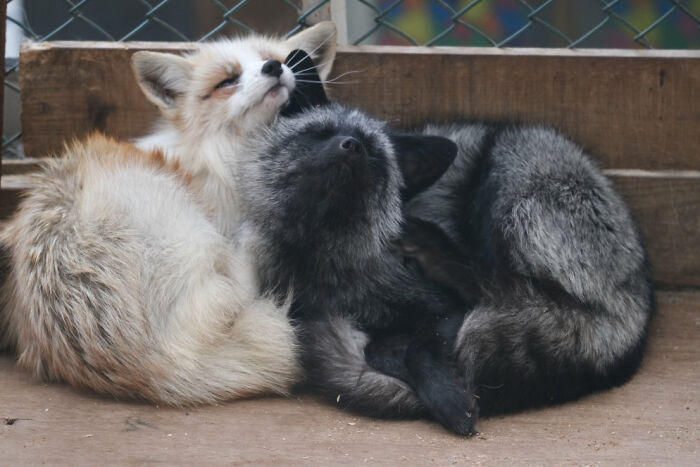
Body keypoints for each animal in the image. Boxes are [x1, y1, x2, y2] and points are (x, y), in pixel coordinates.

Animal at [0, 22, 338, 405]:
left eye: (279, 59)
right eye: (227, 80)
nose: (273, 67)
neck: (224, 157)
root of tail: (152, 368)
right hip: (195, 231)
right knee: (240, 286)